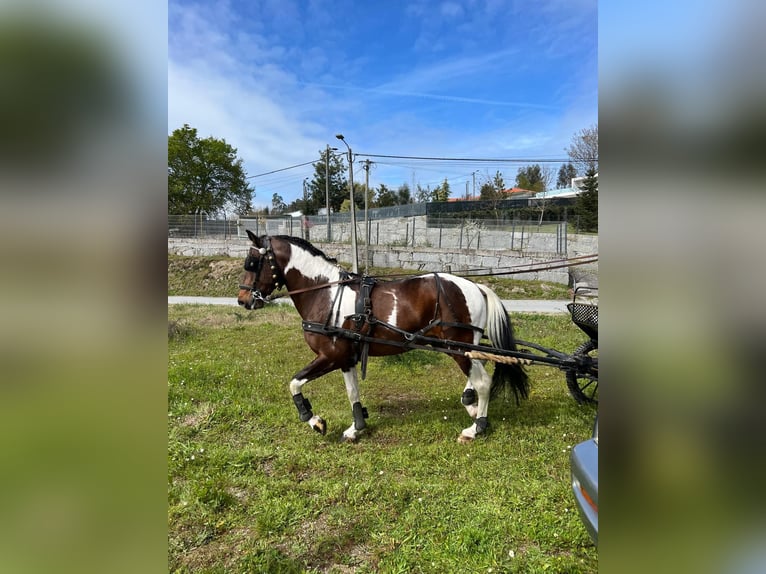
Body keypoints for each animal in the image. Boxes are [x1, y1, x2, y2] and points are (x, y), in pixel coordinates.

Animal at [237, 231, 529, 443]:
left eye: (252, 263)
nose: (242, 300)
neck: (326, 293)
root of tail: (476, 287)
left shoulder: (329, 356)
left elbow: (294, 383)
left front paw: (314, 420)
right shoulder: (345, 358)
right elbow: (352, 392)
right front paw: (356, 427)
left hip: (459, 348)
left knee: (482, 382)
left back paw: (476, 427)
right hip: (464, 347)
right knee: (480, 372)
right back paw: (470, 405)